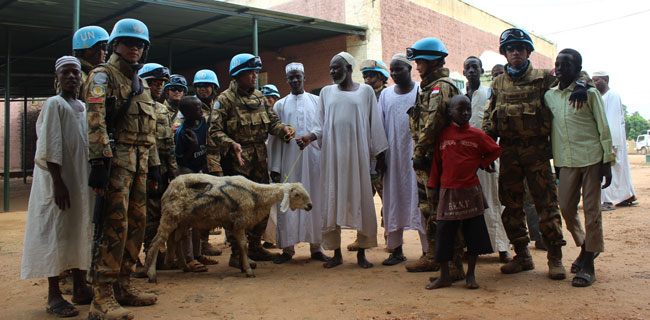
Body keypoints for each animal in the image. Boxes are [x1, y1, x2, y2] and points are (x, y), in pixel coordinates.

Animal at [145, 174, 312, 282]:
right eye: (297, 195)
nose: (310, 206)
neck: (255, 194)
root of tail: (171, 184)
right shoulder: (239, 223)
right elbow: (243, 245)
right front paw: (248, 270)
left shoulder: (235, 224)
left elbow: (239, 245)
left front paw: (243, 266)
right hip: (170, 216)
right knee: (156, 242)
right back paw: (151, 273)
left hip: (182, 220)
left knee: (176, 240)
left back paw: (184, 266)